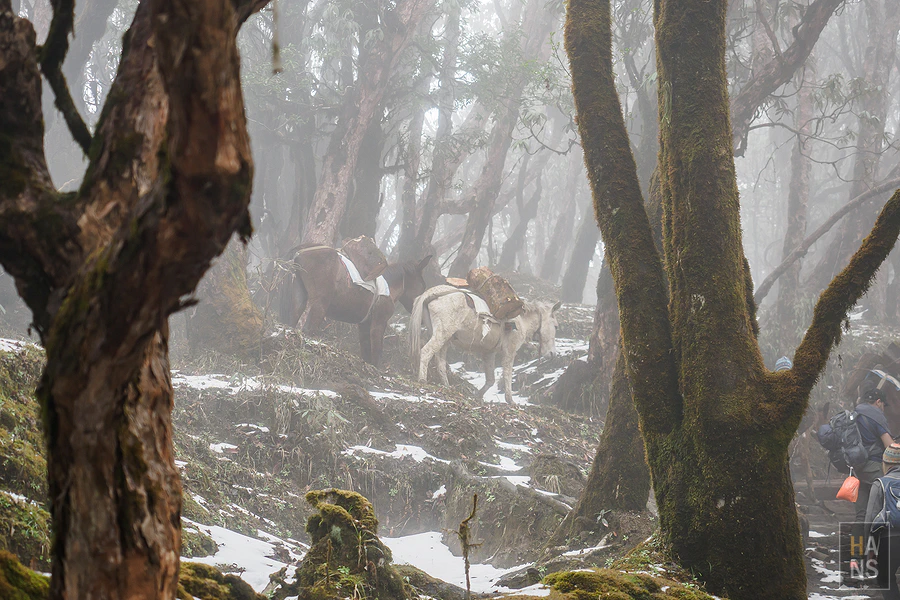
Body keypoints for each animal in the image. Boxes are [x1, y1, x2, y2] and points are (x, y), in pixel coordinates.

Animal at [281, 246, 431, 367]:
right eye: (423, 286)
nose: (424, 318)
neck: (389, 285)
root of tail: (299, 254)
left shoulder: (364, 325)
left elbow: (366, 351)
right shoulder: (378, 323)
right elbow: (376, 351)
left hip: (299, 298)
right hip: (320, 304)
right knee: (308, 330)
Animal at [409, 285, 561, 404]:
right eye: (556, 326)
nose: (553, 354)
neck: (520, 320)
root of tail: (430, 293)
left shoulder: (489, 352)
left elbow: (491, 379)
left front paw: (478, 395)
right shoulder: (509, 351)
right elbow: (507, 375)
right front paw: (510, 400)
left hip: (444, 339)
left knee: (440, 362)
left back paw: (447, 386)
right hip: (442, 334)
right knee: (426, 352)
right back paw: (422, 380)